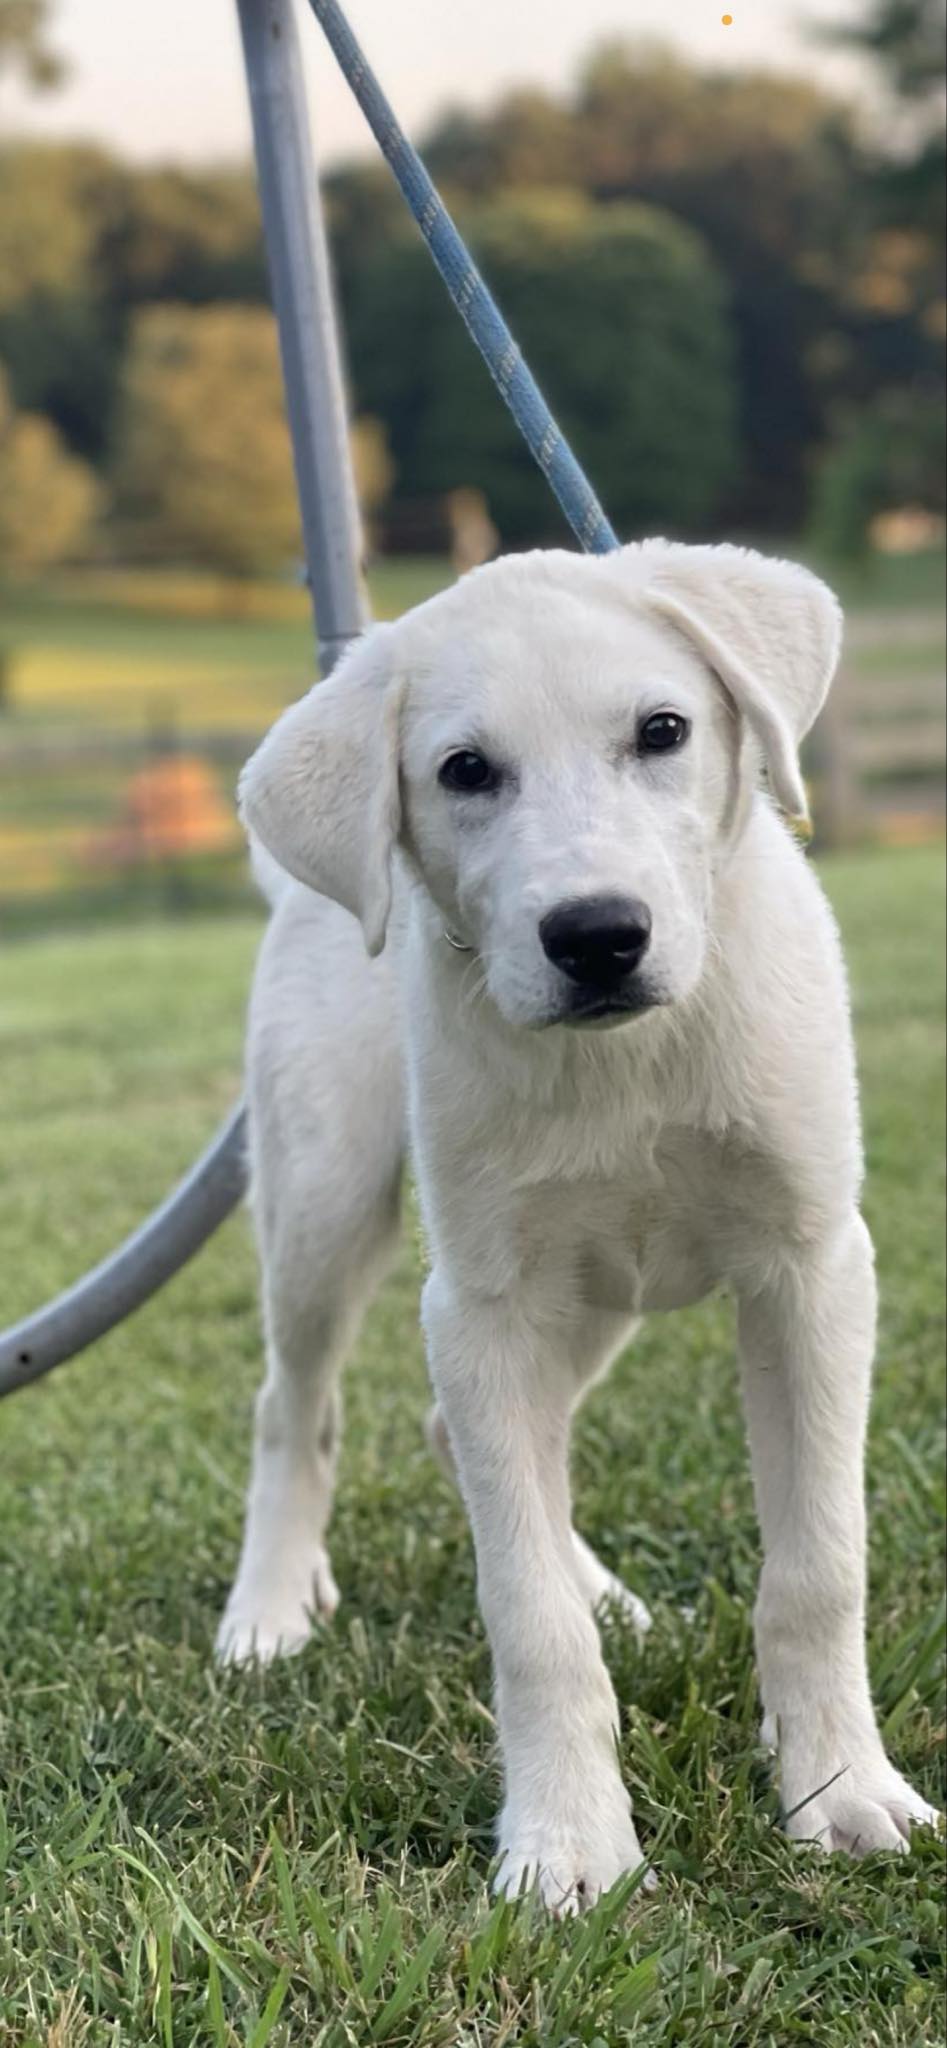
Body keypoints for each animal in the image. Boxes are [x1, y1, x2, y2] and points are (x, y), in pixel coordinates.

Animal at [220, 540, 938, 1900]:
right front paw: (566, 1845)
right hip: (325, 1200)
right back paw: (269, 1612)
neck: (631, 1062)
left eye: (661, 731)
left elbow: (816, 1563)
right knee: (297, 1408)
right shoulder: (482, 1302)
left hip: (595, 1295)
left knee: (469, 1439)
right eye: (463, 771)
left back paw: (609, 1596)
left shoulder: (811, 1267)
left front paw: (840, 1790)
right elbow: (523, 1612)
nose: (596, 935)